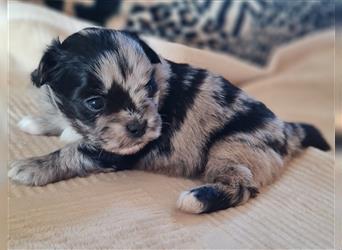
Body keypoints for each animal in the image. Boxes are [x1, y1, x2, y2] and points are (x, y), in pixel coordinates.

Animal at [8, 28, 330, 213]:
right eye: (95, 103)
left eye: (149, 87)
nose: (139, 127)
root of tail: (285, 130)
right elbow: (63, 123)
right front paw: (38, 122)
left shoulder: (118, 151)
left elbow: (74, 152)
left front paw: (33, 166)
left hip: (235, 146)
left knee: (242, 186)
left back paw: (197, 199)